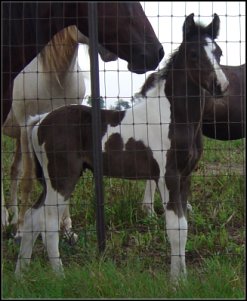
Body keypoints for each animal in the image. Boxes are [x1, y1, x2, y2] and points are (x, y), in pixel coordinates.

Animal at [14, 12, 229, 278]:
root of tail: (40, 120)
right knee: (48, 222)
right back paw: (59, 276)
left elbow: (183, 228)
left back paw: (20, 274)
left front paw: (183, 278)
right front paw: (176, 281)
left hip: (50, 180)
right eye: (194, 54)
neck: (173, 117)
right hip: (62, 178)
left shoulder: (185, 177)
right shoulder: (168, 177)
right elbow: (174, 228)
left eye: (218, 52)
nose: (221, 86)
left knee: (32, 219)